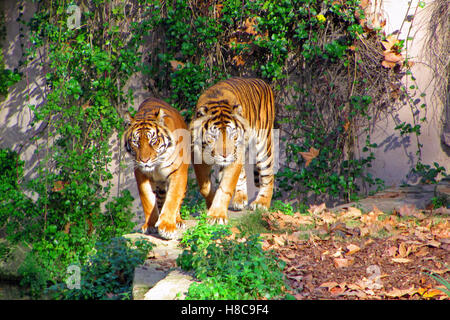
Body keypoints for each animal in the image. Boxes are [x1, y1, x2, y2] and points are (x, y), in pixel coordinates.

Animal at [125, 98, 190, 240]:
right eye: (136, 142)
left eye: (153, 140)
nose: (144, 160)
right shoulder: (141, 173)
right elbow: (148, 200)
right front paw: (150, 225)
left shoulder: (178, 172)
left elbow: (173, 199)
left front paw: (167, 227)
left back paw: (178, 220)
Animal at [189, 77, 274, 224]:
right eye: (213, 136)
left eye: (232, 134)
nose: (225, 155)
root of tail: (264, 82)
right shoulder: (197, 155)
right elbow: (205, 187)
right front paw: (210, 204)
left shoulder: (235, 157)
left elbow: (225, 187)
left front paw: (217, 215)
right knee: (243, 175)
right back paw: (240, 200)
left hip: (263, 143)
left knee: (268, 175)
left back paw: (261, 203)